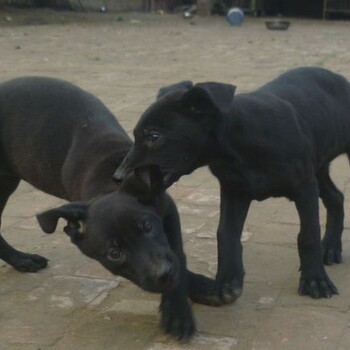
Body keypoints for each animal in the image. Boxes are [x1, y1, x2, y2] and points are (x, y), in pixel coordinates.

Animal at [0, 77, 212, 340]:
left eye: (148, 228)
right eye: (114, 253)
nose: (164, 274)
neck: (108, 185)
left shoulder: (167, 210)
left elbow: (177, 252)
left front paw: (185, 302)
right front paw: (179, 309)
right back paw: (21, 260)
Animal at [113, 67, 350, 304]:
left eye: (154, 136)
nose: (118, 177)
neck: (240, 143)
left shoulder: (304, 188)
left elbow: (308, 234)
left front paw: (315, 281)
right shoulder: (234, 191)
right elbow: (225, 233)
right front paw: (227, 280)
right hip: (319, 167)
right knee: (336, 197)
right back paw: (331, 247)